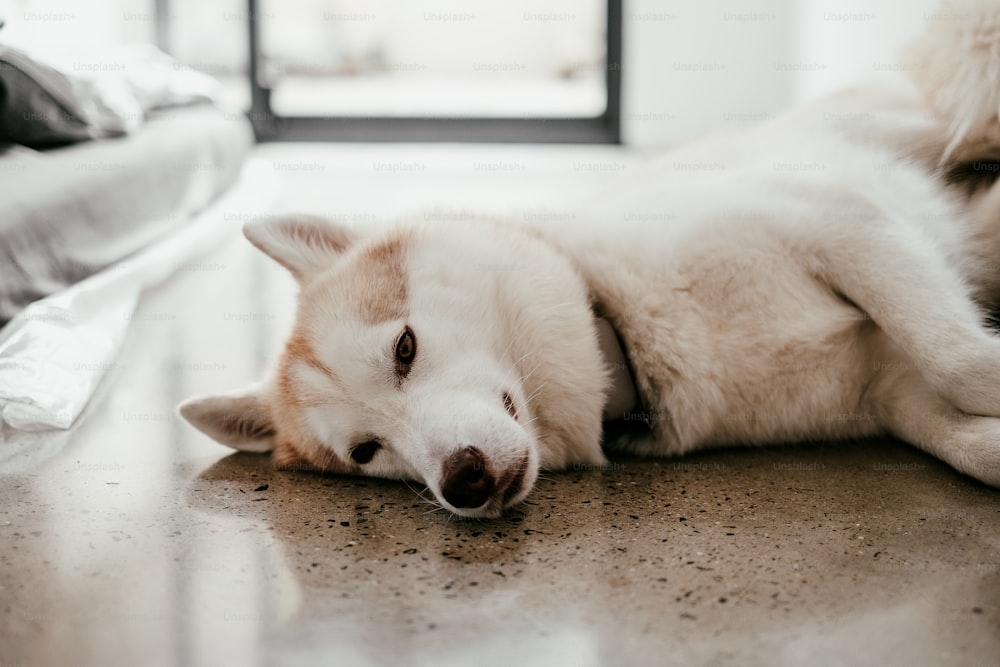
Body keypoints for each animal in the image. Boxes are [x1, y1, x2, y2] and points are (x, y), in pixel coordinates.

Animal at [180, 1, 1000, 516]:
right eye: (365, 450)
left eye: (404, 349)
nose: (462, 481)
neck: (626, 327)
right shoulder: (887, 387)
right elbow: (968, 434)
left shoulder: (841, 220)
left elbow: (962, 361)